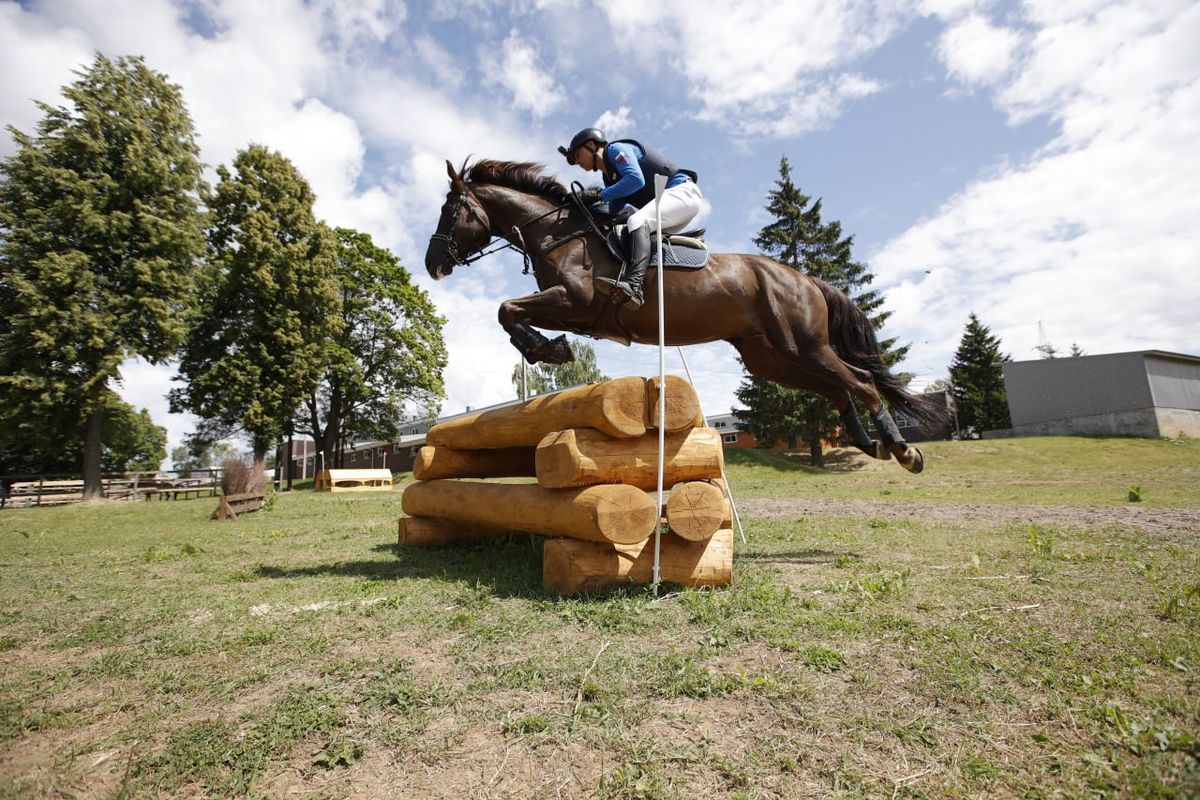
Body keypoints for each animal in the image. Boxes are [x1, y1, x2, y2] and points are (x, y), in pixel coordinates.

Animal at [427, 157, 940, 472]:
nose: (432, 264)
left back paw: (902, 449)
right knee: (839, 386)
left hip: (803, 345)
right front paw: (547, 348)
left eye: (450, 210)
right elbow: (508, 312)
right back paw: (870, 443)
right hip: (772, 357)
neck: (560, 234)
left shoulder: (575, 302)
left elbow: (504, 308)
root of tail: (806, 279)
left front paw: (545, 349)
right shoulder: (573, 311)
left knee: (862, 382)